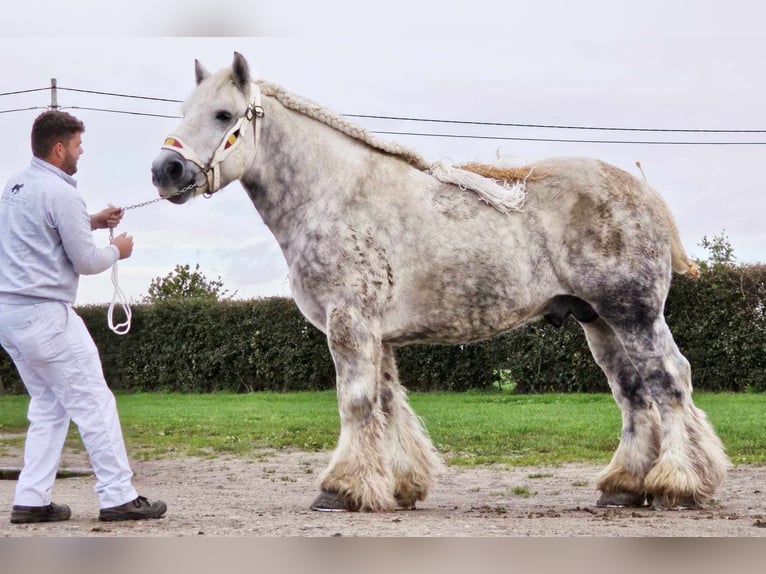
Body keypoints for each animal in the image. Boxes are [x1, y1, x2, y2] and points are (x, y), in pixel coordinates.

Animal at [152, 53, 732, 512]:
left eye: (223, 115)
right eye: (183, 113)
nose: (166, 170)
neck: (335, 195)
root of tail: (641, 192)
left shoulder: (349, 323)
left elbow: (356, 401)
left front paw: (340, 490)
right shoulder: (376, 334)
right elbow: (388, 403)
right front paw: (400, 486)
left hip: (633, 316)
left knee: (669, 381)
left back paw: (680, 485)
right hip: (598, 322)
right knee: (633, 394)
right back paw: (626, 485)